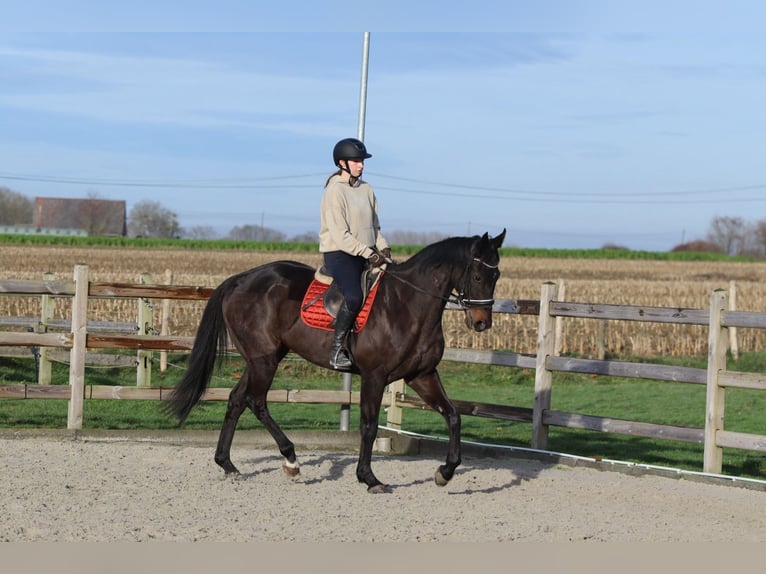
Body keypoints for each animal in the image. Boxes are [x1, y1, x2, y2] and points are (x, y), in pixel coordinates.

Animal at [167, 229, 506, 493]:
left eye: (497, 275)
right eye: (477, 274)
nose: (481, 323)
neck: (407, 305)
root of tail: (240, 280)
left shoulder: (421, 375)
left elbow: (453, 415)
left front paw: (445, 473)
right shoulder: (375, 375)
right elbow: (368, 425)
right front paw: (369, 478)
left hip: (261, 358)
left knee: (237, 399)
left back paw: (227, 463)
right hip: (264, 360)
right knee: (256, 400)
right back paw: (291, 460)